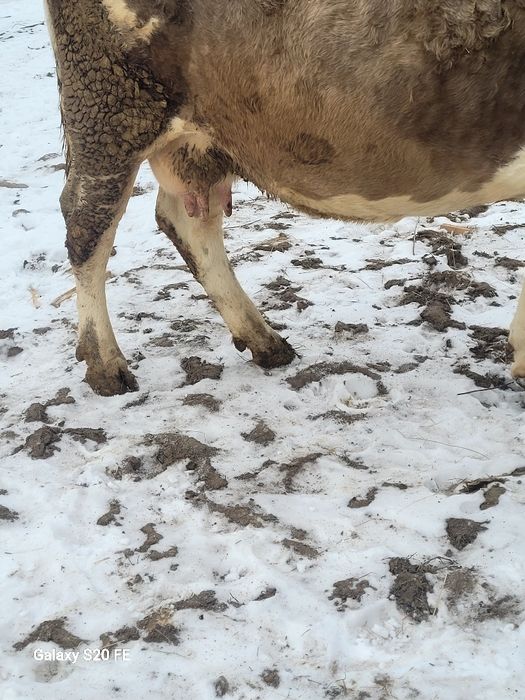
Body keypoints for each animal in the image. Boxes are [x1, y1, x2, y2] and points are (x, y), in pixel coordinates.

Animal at [44, 0, 525, 396]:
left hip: (200, 137)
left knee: (187, 220)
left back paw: (265, 342)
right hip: (108, 106)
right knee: (87, 224)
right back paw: (107, 368)